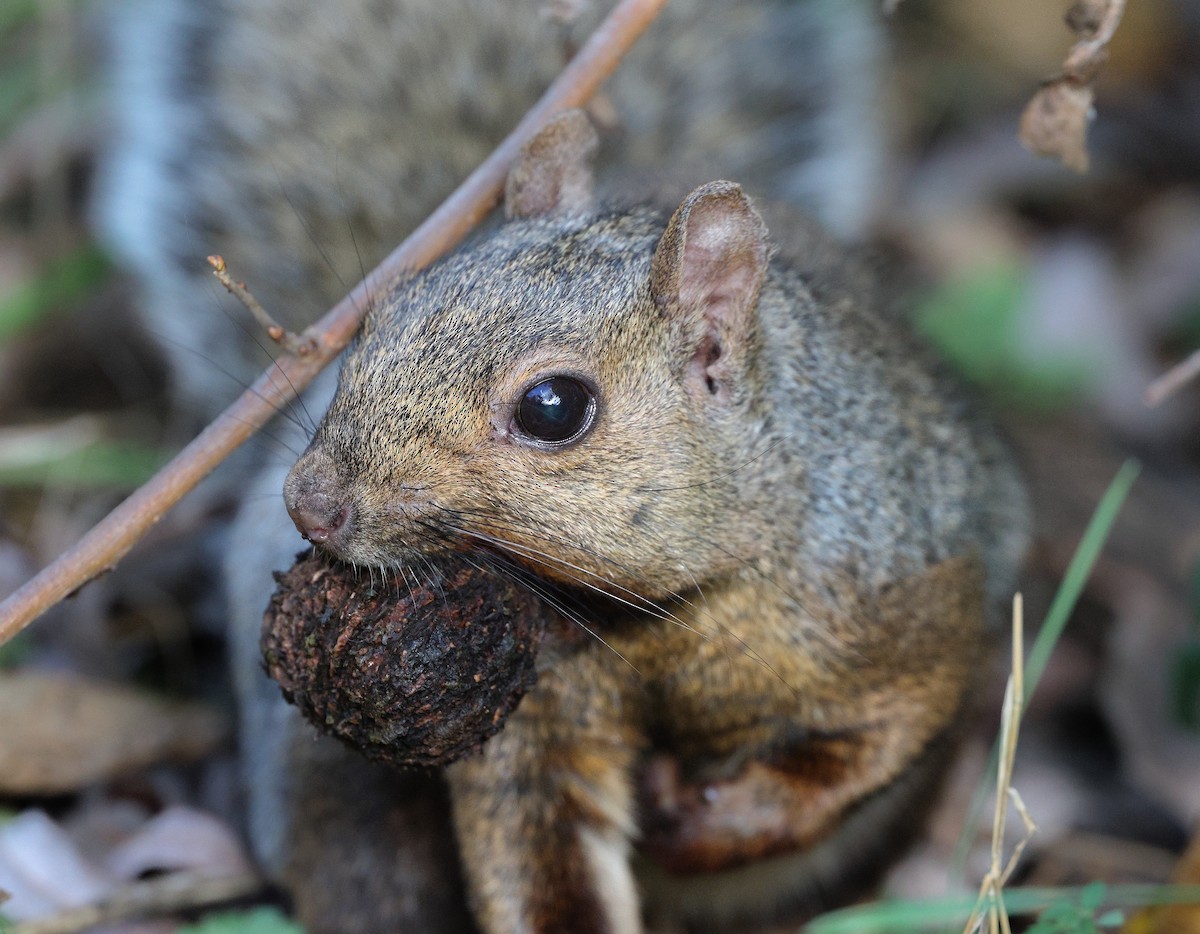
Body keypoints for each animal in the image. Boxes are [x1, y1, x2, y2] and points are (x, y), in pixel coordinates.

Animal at [91, 2, 1026, 930]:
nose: (311, 503)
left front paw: (707, 824)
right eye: (384, 313)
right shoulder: (536, 719)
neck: (664, 622)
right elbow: (536, 851)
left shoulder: (907, 595)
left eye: (553, 407)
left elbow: (874, 745)